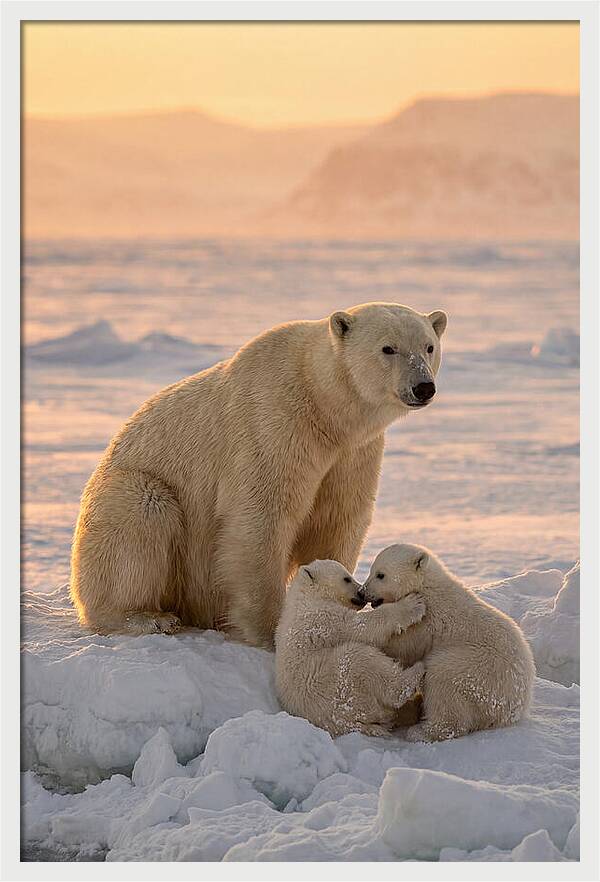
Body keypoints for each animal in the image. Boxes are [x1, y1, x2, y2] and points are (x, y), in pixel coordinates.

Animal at [70, 302, 447, 647]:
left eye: (428, 346)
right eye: (388, 348)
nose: (423, 387)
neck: (323, 406)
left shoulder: (353, 453)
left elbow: (337, 517)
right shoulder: (273, 424)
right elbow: (262, 517)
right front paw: (272, 630)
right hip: (129, 491)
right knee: (142, 515)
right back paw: (148, 617)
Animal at [274, 559, 426, 737]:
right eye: (347, 579)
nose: (361, 592)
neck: (306, 596)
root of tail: (346, 724)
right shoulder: (323, 618)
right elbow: (362, 627)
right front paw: (413, 604)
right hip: (338, 686)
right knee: (360, 660)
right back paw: (416, 670)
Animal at [362, 544, 536, 742]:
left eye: (381, 574)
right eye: (372, 570)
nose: (362, 592)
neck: (426, 586)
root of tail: (514, 710)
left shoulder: (427, 622)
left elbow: (403, 646)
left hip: (478, 671)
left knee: (442, 677)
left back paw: (421, 731)